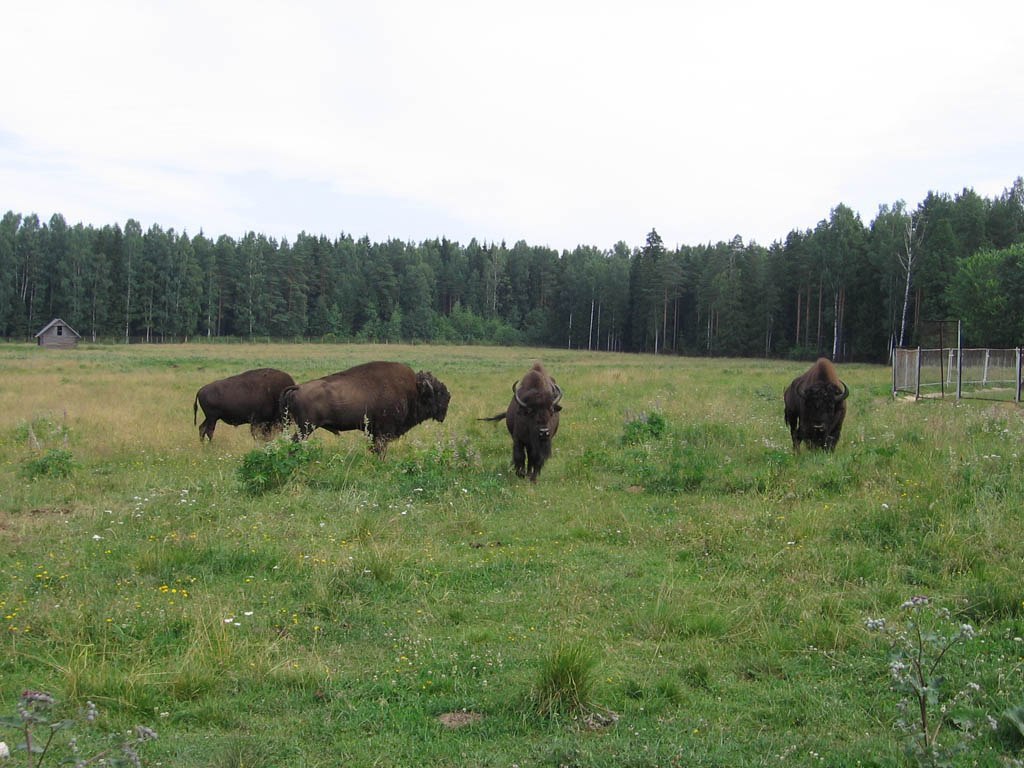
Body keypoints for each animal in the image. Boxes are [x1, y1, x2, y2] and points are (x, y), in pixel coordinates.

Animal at [282, 360, 454, 456]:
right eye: (438, 392)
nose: (449, 397)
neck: (413, 389)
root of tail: (298, 388)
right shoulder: (383, 431)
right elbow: (380, 449)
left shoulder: (373, 431)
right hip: (306, 427)